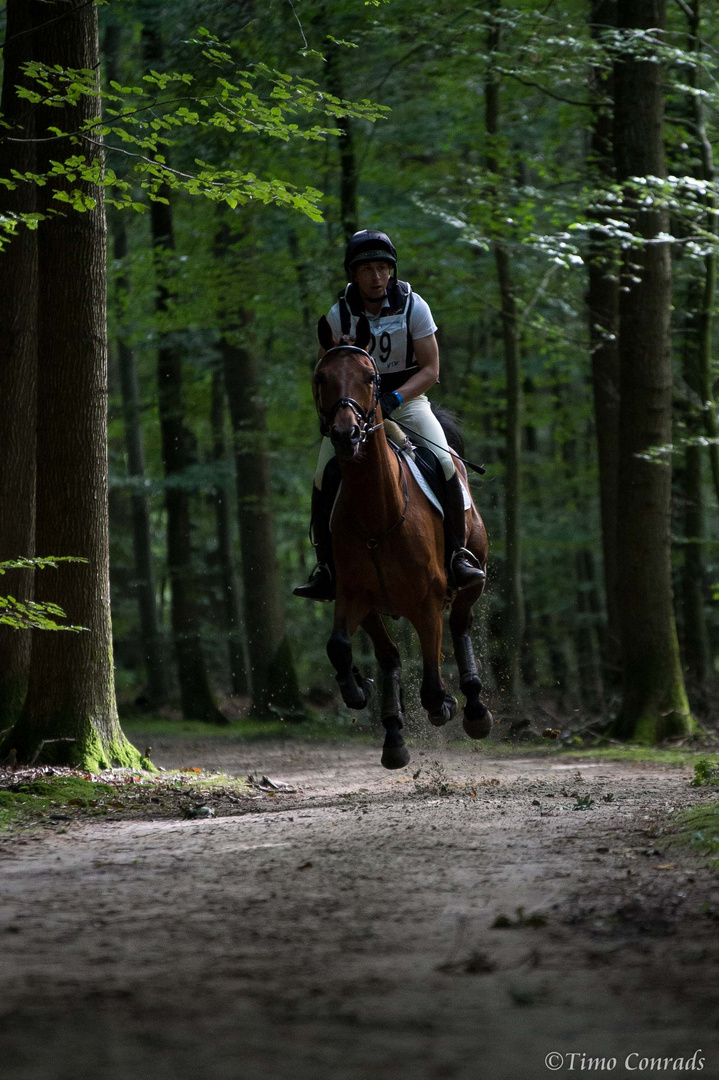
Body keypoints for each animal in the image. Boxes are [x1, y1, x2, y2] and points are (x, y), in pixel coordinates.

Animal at [310, 313, 490, 768]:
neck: (378, 514)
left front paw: (445, 705)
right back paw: (392, 734)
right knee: (389, 655)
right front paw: (358, 689)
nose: (345, 434)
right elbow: (339, 646)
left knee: (460, 622)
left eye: (370, 376)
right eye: (321, 376)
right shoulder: (353, 596)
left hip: (472, 577)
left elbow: (432, 681)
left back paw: (475, 708)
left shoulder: (427, 600)